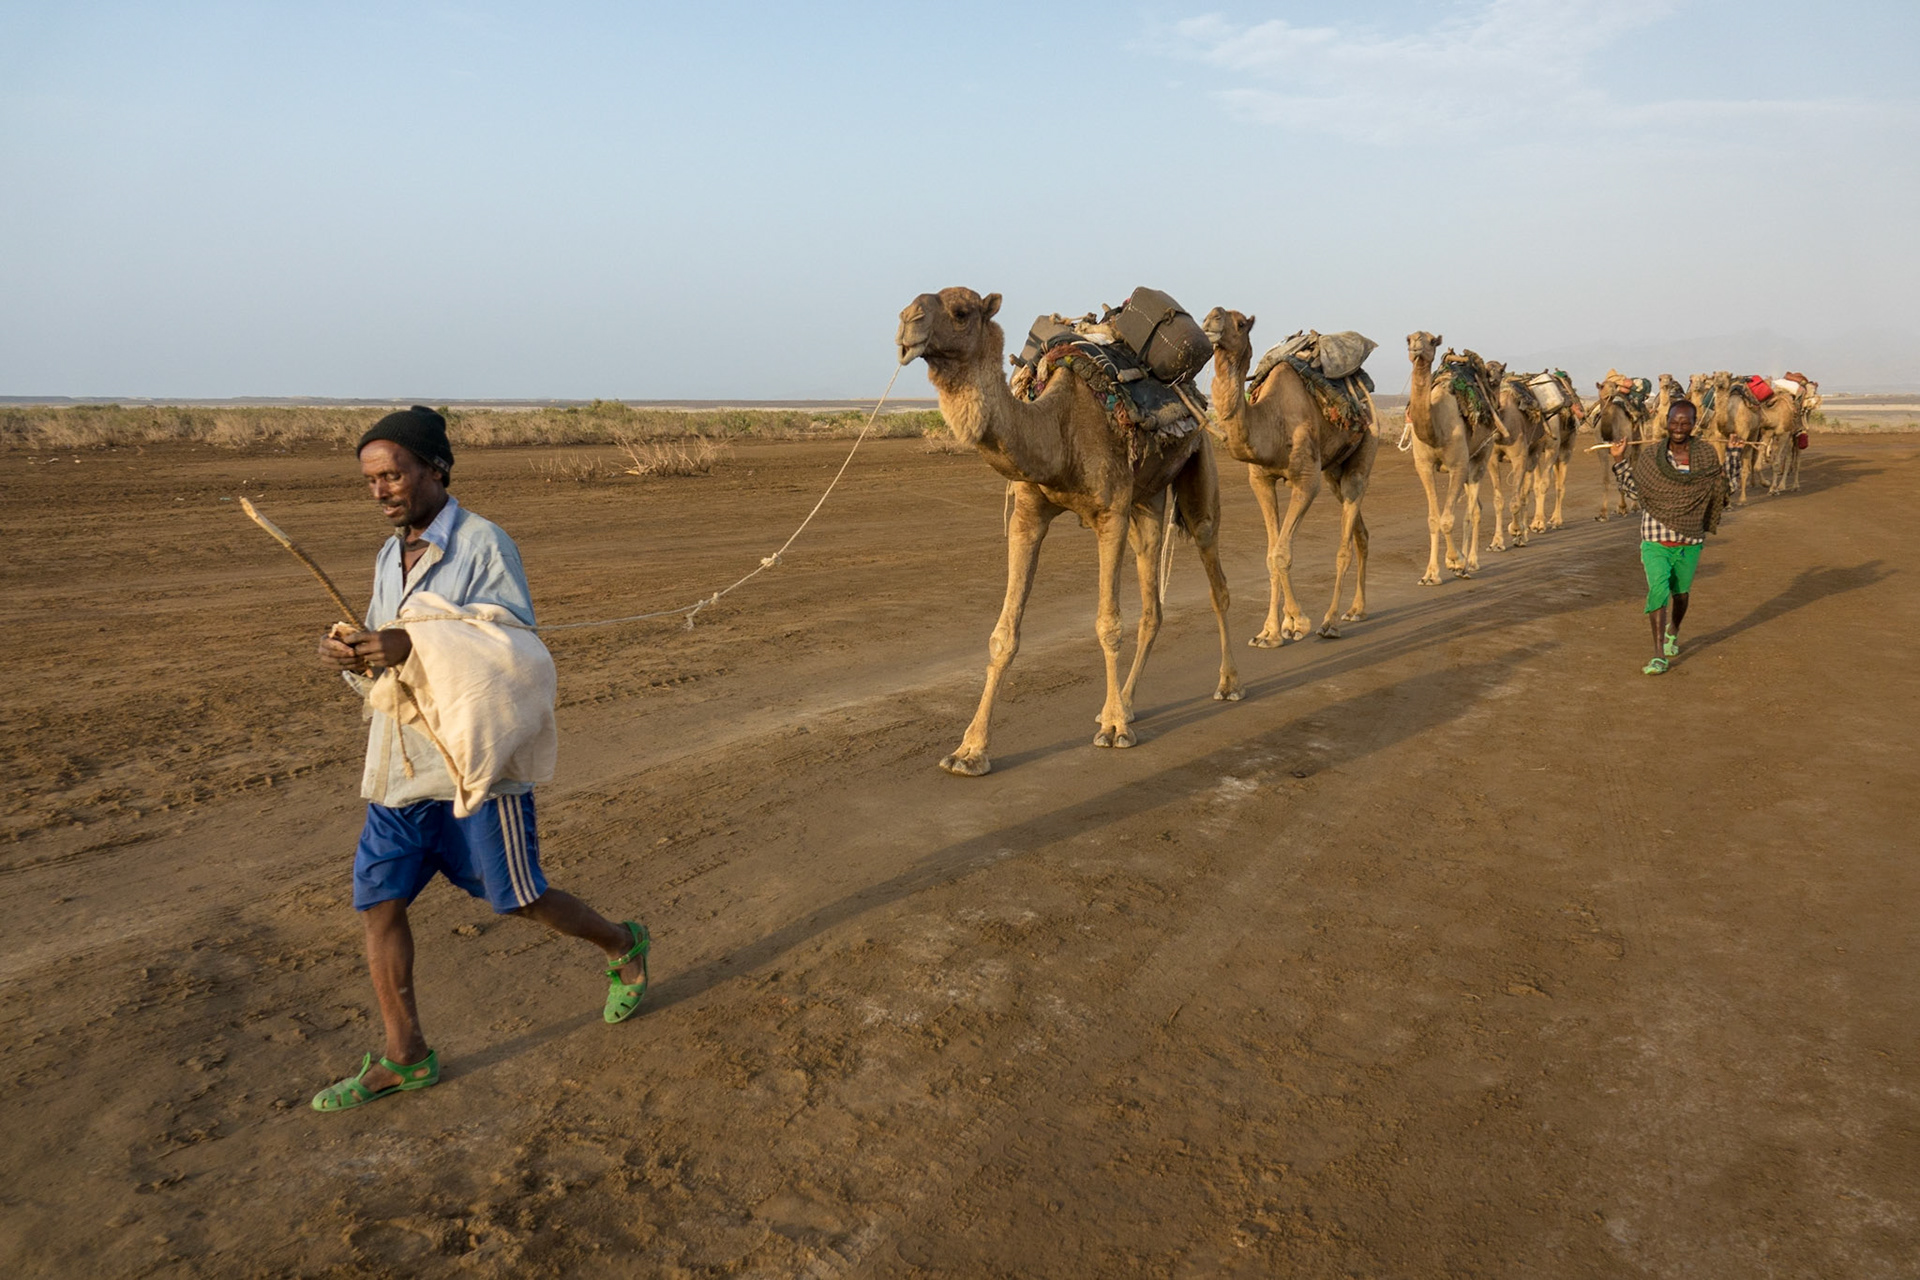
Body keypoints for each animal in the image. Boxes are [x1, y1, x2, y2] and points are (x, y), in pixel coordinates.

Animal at [896, 287, 1241, 777]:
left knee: (1215, 573)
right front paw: (969, 750)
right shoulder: (1027, 515)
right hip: (1148, 500)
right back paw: (1127, 702)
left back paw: (1227, 683)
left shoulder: (1110, 514)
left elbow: (1108, 624)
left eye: (961, 312)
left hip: (1198, 464)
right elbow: (1003, 636)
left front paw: (1114, 731)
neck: (1058, 430)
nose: (907, 324)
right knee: (1152, 603)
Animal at [1199, 309, 1379, 644]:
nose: (1211, 319)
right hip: (1334, 471)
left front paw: (1298, 621)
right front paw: (1270, 632)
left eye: (1240, 323)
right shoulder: (1260, 480)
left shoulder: (1307, 481)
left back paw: (1330, 622)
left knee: (1345, 544)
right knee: (1360, 533)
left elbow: (1282, 553)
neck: (1270, 420)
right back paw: (1357, 609)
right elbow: (1271, 555)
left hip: (1365, 450)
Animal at [1404, 332, 1503, 582]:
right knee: (1473, 507)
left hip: (1481, 456)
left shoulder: (1458, 465)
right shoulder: (1423, 466)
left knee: (1473, 511)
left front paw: (1456, 560)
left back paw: (1470, 562)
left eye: (1431, 340)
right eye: (1408, 338)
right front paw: (1430, 574)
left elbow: (1448, 519)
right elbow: (1433, 519)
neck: (1436, 428)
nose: (1416, 347)